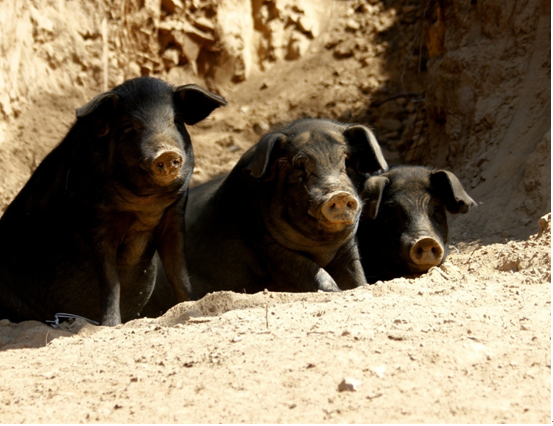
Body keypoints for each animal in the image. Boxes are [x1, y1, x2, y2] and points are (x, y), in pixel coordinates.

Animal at [0, 76, 226, 326]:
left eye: (175, 120)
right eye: (129, 126)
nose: (166, 152)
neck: (146, 207)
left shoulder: (174, 216)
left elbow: (178, 271)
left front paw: (193, 305)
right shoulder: (98, 221)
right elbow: (111, 282)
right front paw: (111, 325)